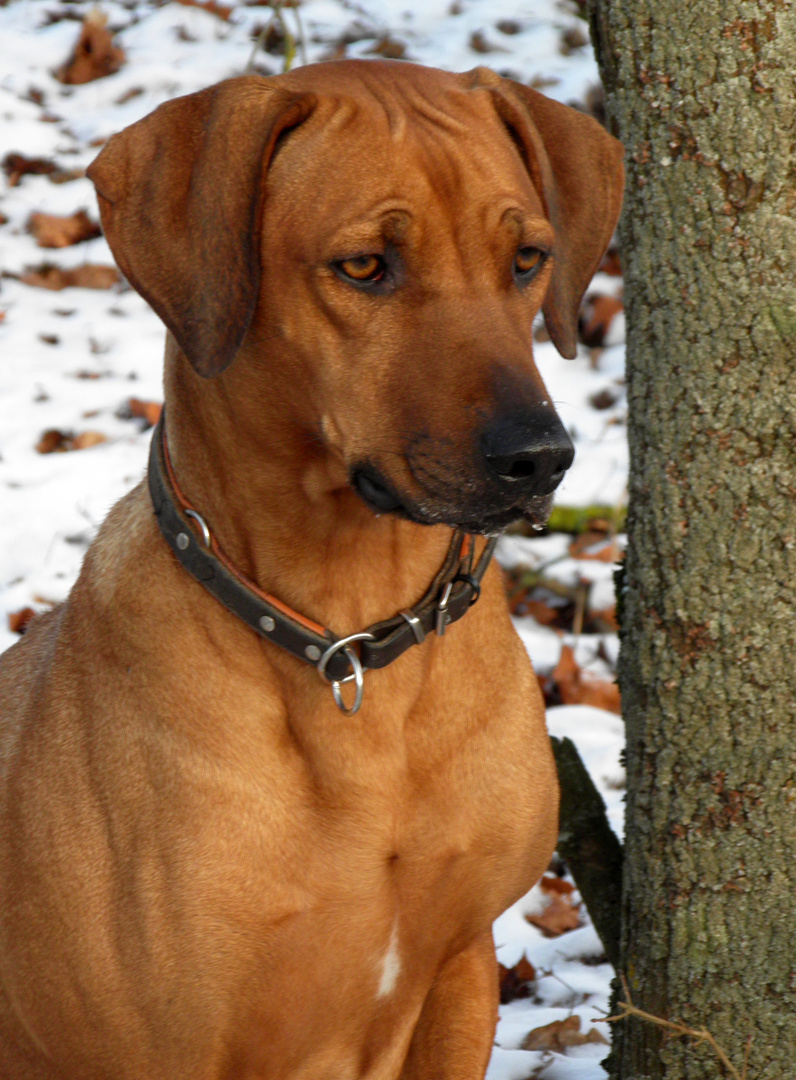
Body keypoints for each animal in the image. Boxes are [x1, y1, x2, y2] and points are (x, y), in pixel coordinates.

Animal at [0, 61, 622, 1080]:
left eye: (528, 259)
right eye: (365, 267)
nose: (541, 459)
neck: (350, 629)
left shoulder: (461, 964)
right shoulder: (172, 1038)